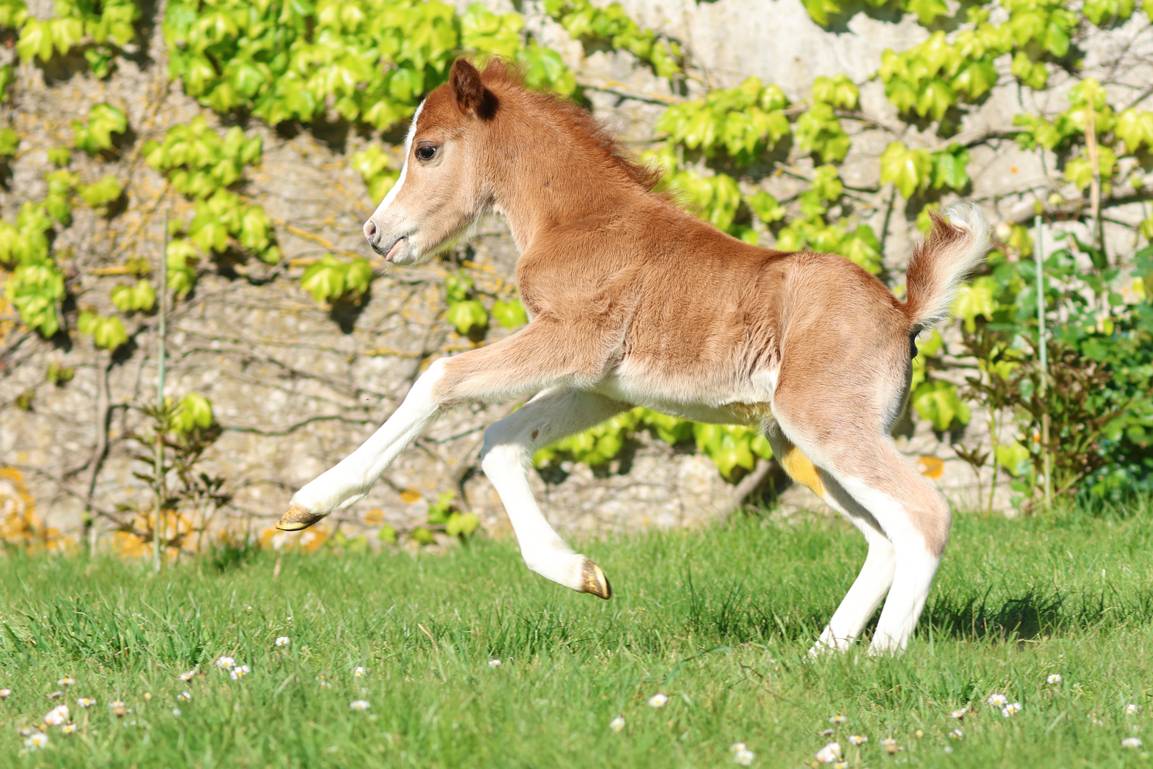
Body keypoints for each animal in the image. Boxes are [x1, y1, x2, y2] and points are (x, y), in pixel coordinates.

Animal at [277, 58, 989, 654]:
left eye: (426, 150)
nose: (375, 233)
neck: (577, 218)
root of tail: (902, 310)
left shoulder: (570, 339)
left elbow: (438, 375)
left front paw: (309, 503)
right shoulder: (599, 384)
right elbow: (501, 441)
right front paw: (581, 573)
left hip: (825, 423)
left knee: (924, 514)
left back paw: (882, 657)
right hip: (796, 441)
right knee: (882, 537)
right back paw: (823, 658)